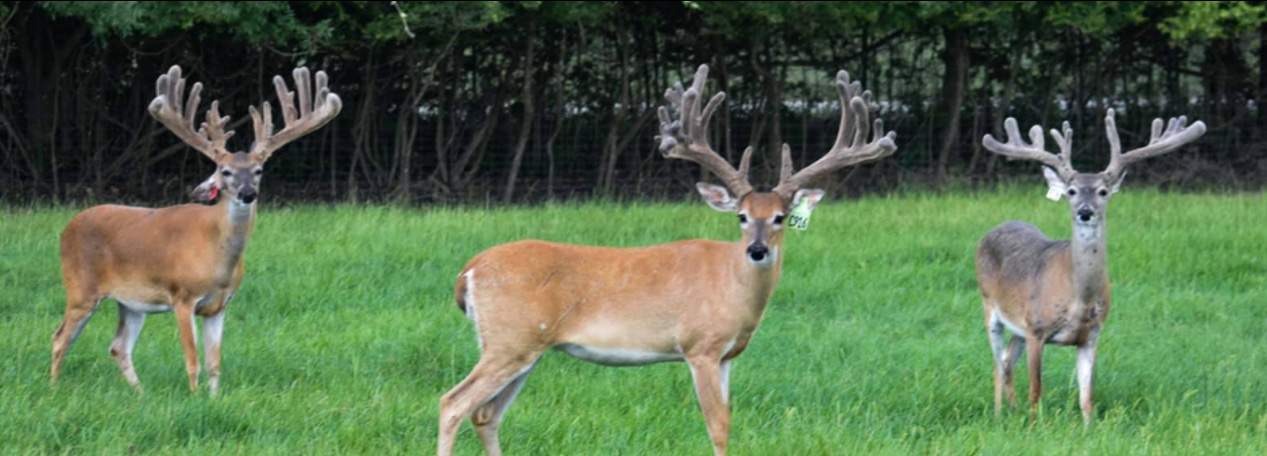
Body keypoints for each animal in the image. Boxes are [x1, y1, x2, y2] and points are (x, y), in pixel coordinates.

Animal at [51, 65, 341, 396]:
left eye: (258, 170)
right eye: (225, 171)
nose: (247, 193)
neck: (217, 259)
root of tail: (68, 227)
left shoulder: (220, 305)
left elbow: (215, 362)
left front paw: (214, 399)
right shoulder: (182, 296)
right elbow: (193, 360)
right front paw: (193, 397)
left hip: (131, 302)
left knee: (119, 346)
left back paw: (141, 395)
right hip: (80, 287)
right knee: (60, 338)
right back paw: (54, 388)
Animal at [436, 64, 896, 456]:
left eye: (780, 217)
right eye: (742, 216)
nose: (757, 249)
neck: (733, 288)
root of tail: (468, 270)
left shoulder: (727, 356)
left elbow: (727, 421)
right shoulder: (700, 345)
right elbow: (718, 426)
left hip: (524, 345)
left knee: (486, 414)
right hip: (511, 339)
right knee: (452, 403)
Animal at [976, 109, 1205, 423]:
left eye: (1103, 191)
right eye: (1072, 191)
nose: (1085, 212)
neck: (1078, 297)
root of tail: (991, 231)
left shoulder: (1092, 334)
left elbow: (1087, 397)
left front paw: (1089, 428)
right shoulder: (1037, 328)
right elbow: (1036, 391)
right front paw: (1034, 425)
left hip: (1018, 325)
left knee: (1007, 359)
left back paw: (1012, 409)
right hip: (990, 306)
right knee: (997, 363)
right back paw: (1000, 414)